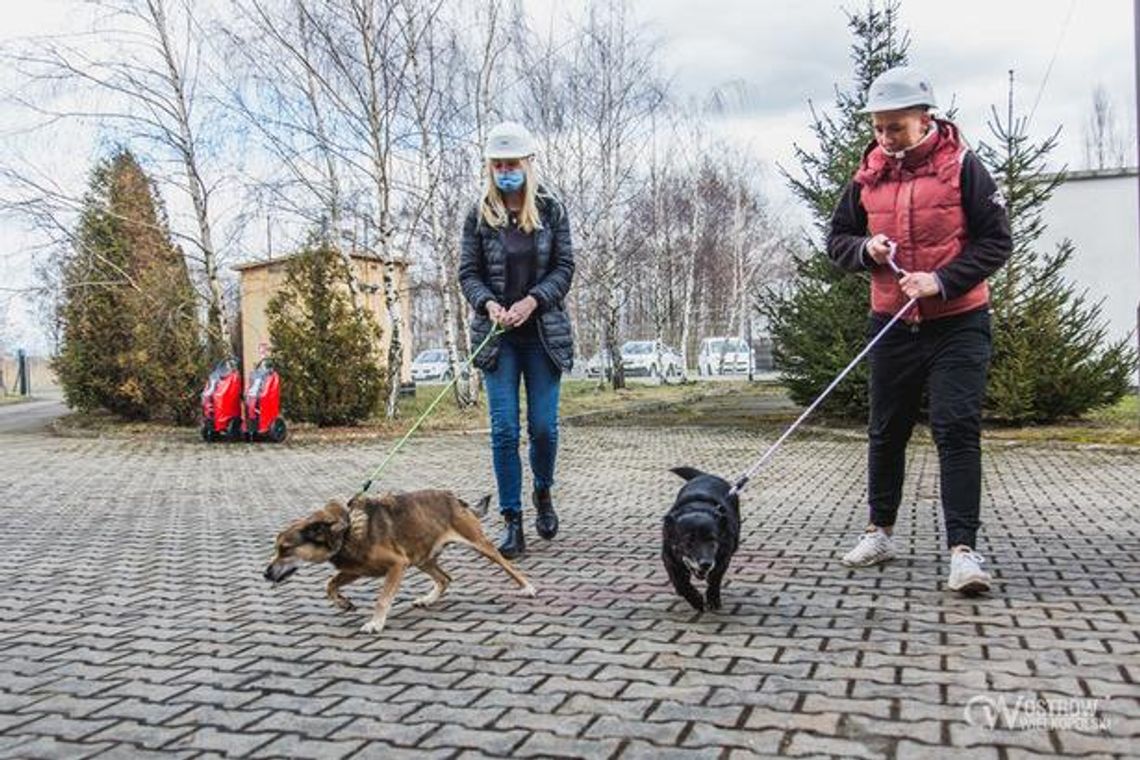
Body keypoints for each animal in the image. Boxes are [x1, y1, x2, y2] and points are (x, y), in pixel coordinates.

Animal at [264, 489, 535, 633]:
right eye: (277, 549)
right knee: (445, 578)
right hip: (421, 557)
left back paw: (528, 587)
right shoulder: (355, 570)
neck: (348, 531)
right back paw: (428, 599)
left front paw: (375, 623)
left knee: (507, 566)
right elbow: (329, 584)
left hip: (478, 544)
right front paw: (343, 603)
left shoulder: (397, 565)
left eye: (285, 549)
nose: (265, 574)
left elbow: (383, 599)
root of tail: (455, 498)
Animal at [661, 464, 738, 610]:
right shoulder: (669, 558)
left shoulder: (723, 558)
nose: (705, 564)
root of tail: (705, 475)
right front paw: (694, 599)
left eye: (712, 541)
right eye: (688, 542)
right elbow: (680, 582)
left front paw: (713, 598)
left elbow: (715, 579)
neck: (697, 508)